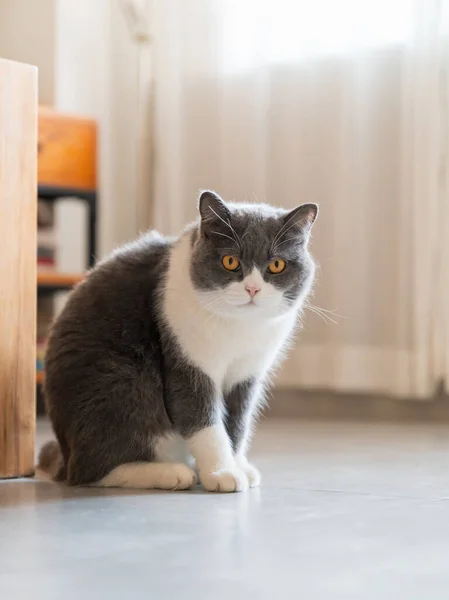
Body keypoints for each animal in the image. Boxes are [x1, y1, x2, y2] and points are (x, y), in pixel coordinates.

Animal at [39, 191, 318, 492]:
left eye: (277, 265)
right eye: (230, 261)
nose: (252, 289)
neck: (239, 327)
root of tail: (63, 454)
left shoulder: (246, 375)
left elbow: (237, 423)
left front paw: (238, 465)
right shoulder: (187, 361)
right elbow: (204, 422)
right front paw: (222, 473)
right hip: (121, 381)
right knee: (91, 471)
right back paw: (171, 472)